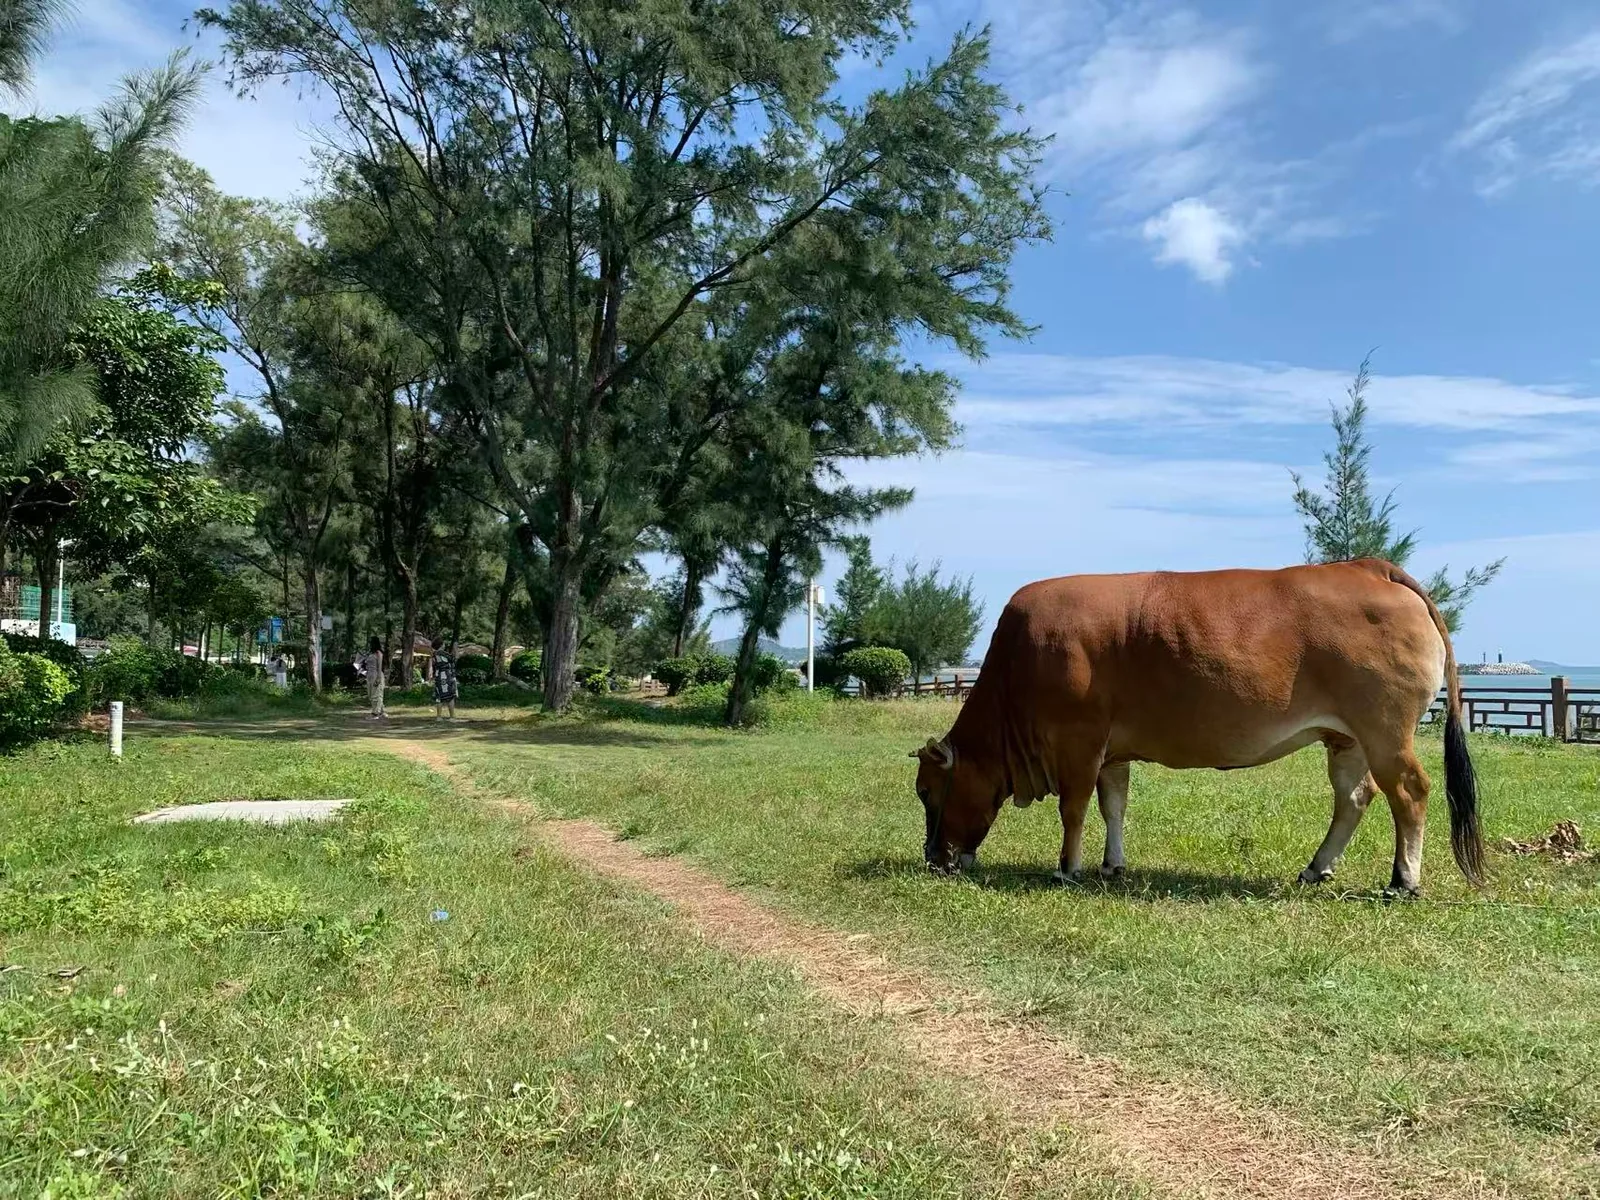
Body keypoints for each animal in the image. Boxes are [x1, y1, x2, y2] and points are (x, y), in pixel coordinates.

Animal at [911, 559, 1485, 897]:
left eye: (924, 791)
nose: (933, 859)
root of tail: (1372, 567)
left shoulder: (1079, 739)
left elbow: (1073, 809)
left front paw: (1066, 867)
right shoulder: (1112, 750)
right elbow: (1113, 804)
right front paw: (1111, 865)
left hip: (1386, 730)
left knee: (1410, 791)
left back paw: (1403, 880)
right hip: (1348, 738)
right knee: (1355, 797)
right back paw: (1315, 868)